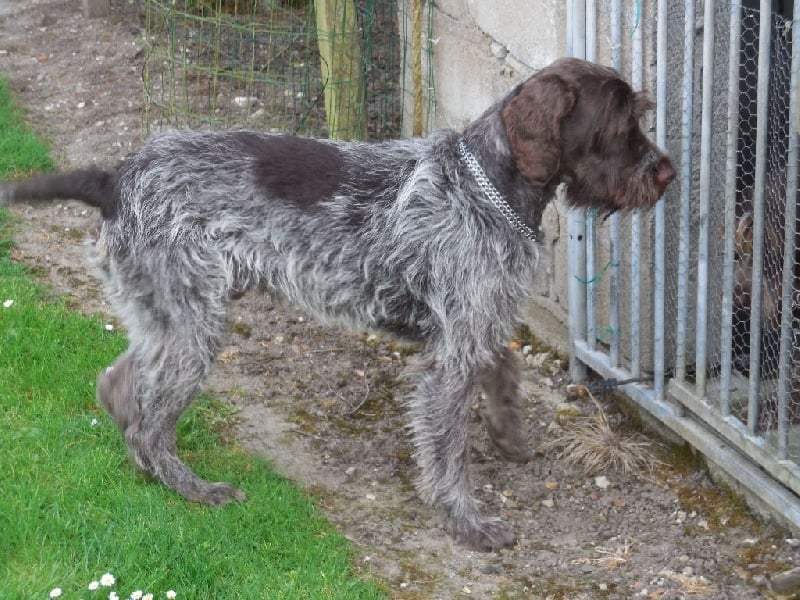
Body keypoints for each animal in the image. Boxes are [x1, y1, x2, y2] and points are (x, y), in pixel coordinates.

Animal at [1, 58, 674, 550]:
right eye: (620, 124)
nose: (665, 173)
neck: (486, 186)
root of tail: (115, 177)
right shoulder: (450, 355)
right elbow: (448, 450)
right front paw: (465, 522)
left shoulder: (473, 323)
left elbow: (503, 365)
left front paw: (509, 434)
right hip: (191, 327)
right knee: (148, 423)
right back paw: (193, 488)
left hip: (168, 317)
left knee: (119, 381)